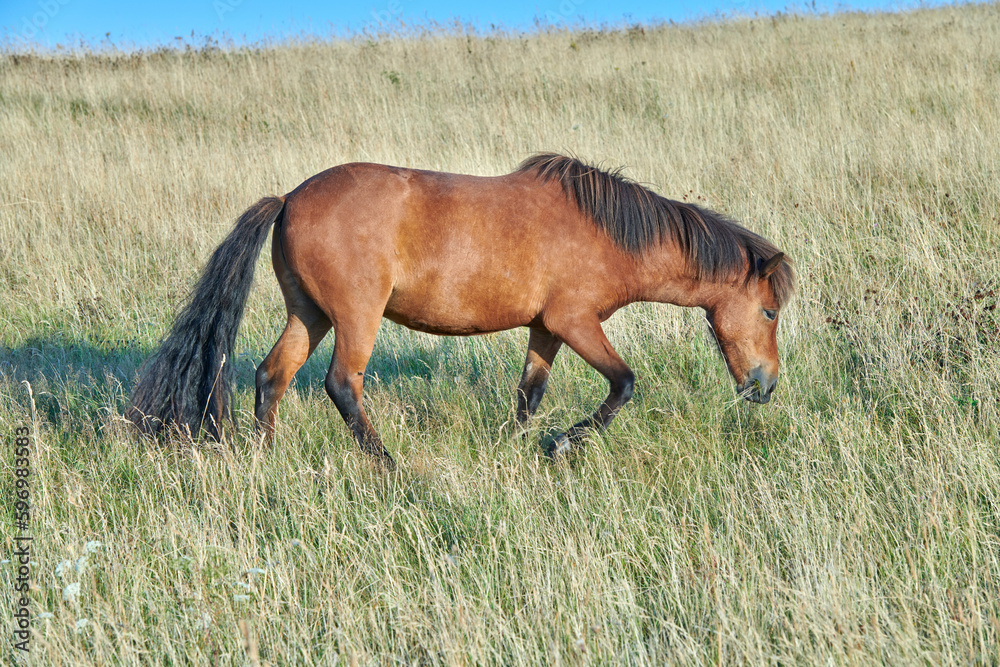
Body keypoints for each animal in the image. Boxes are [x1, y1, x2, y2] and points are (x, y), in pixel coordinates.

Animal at [127, 154, 794, 469]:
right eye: (769, 313)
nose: (764, 387)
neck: (608, 233)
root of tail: (289, 198)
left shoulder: (545, 329)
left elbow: (529, 393)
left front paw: (517, 446)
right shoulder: (576, 323)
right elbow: (624, 385)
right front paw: (563, 445)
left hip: (309, 315)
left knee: (272, 376)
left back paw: (265, 455)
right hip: (356, 317)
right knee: (341, 384)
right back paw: (389, 467)